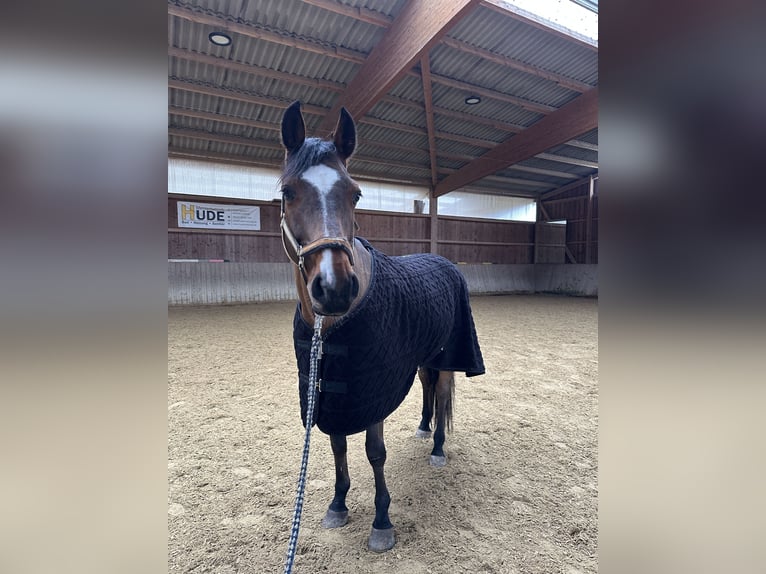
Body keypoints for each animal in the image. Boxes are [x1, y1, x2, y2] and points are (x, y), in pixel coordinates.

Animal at [279, 100, 485, 553]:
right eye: (287, 192)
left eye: (354, 193)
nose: (334, 288)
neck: (330, 328)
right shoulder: (332, 392)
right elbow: (337, 444)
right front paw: (338, 504)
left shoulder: (370, 389)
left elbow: (374, 452)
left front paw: (381, 520)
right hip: (423, 355)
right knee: (427, 387)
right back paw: (424, 428)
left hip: (448, 354)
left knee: (442, 391)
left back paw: (438, 448)